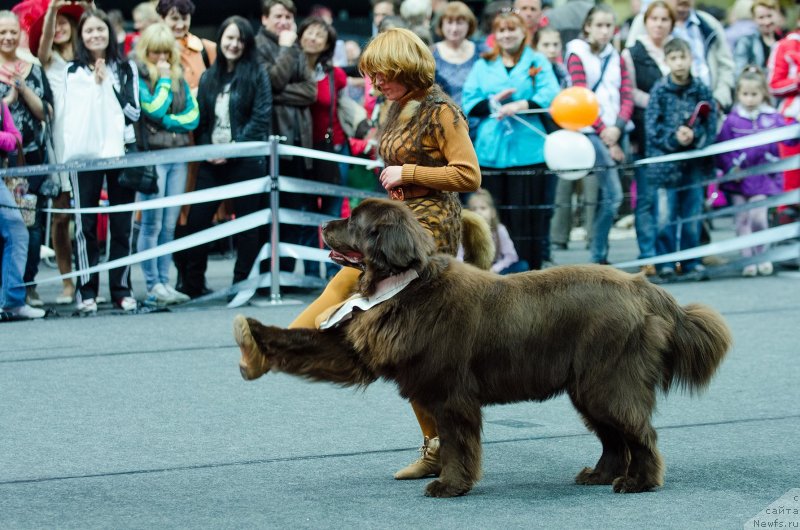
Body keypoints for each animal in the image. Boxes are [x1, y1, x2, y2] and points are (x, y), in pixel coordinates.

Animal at [231, 197, 732, 496]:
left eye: (354, 221)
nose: (322, 224)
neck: (404, 286)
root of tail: (644, 288)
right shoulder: (361, 355)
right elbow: (308, 345)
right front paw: (253, 333)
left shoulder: (451, 393)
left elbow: (457, 442)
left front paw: (450, 486)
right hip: (587, 387)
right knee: (614, 437)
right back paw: (600, 475)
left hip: (607, 381)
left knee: (639, 433)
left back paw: (638, 483)